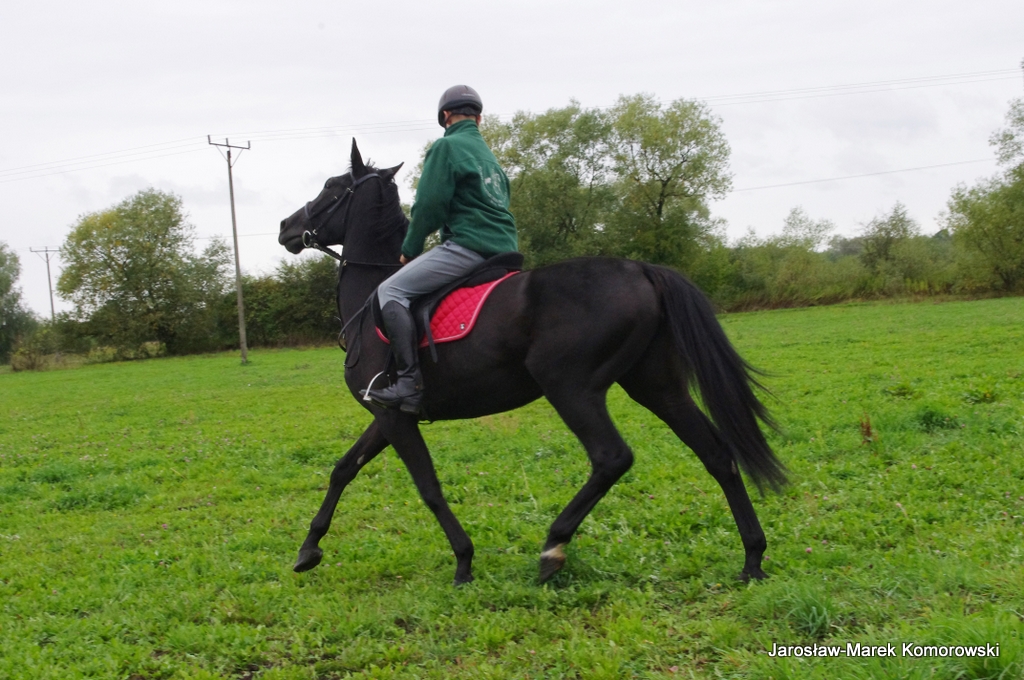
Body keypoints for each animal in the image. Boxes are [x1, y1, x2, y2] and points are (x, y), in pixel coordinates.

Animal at [278, 139, 786, 586]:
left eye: (330, 186)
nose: (285, 226)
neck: (374, 297)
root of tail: (642, 269)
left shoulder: (394, 416)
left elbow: (428, 488)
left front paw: (463, 561)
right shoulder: (387, 414)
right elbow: (344, 468)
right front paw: (308, 550)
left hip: (571, 388)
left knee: (612, 458)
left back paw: (553, 548)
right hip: (656, 386)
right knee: (716, 454)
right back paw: (753, 557)